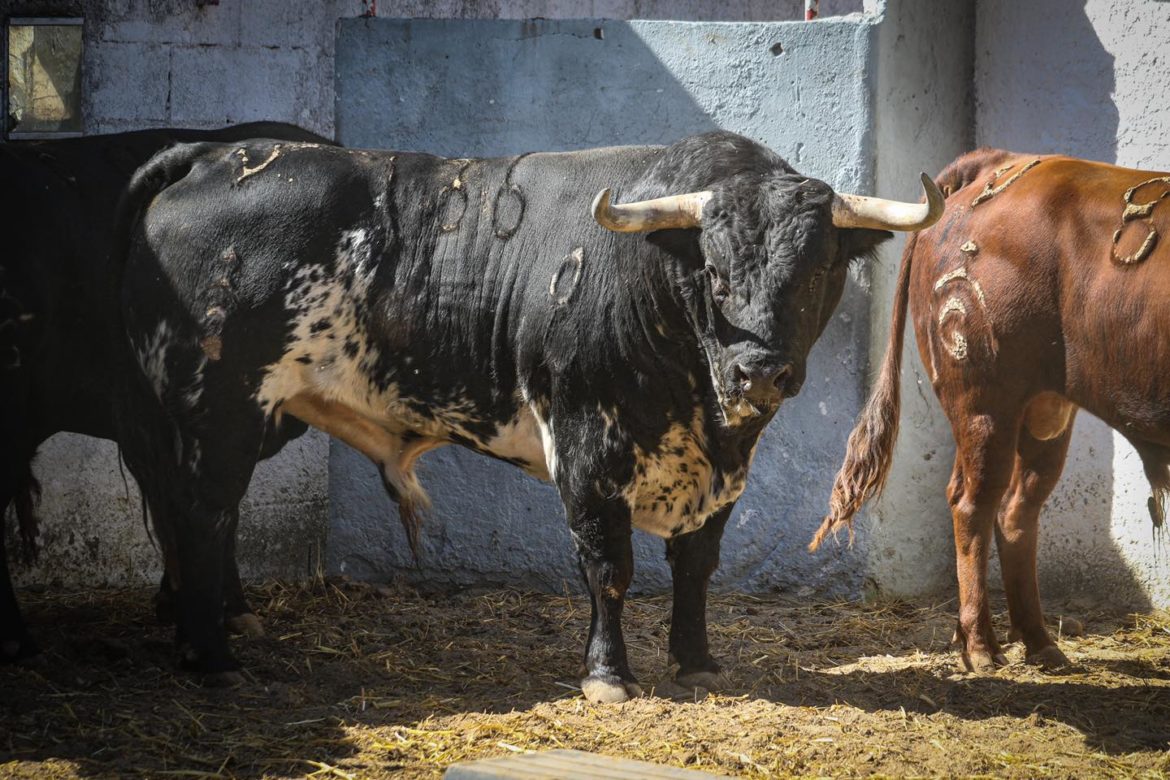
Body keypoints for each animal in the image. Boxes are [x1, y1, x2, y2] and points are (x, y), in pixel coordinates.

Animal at [116, 129, 940, 701]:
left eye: (821, 269)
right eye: (713, 271)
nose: (759, 371)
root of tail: (212, 154)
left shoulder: (721, 471)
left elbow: (696, 564)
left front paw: (697, 660)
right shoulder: (586, 451)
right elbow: (609, 568)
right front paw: (608, 676)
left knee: (198, 517)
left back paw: (204, 635)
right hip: (216, 409)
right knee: (203, 517)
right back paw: (214, 659)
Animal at [814, 149, 1170, 673]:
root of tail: (1001, 164)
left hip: (1044, 409)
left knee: (1016, 510)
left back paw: (1039, 642)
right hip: (986, 403)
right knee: (974, 505)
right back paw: (981, 646)